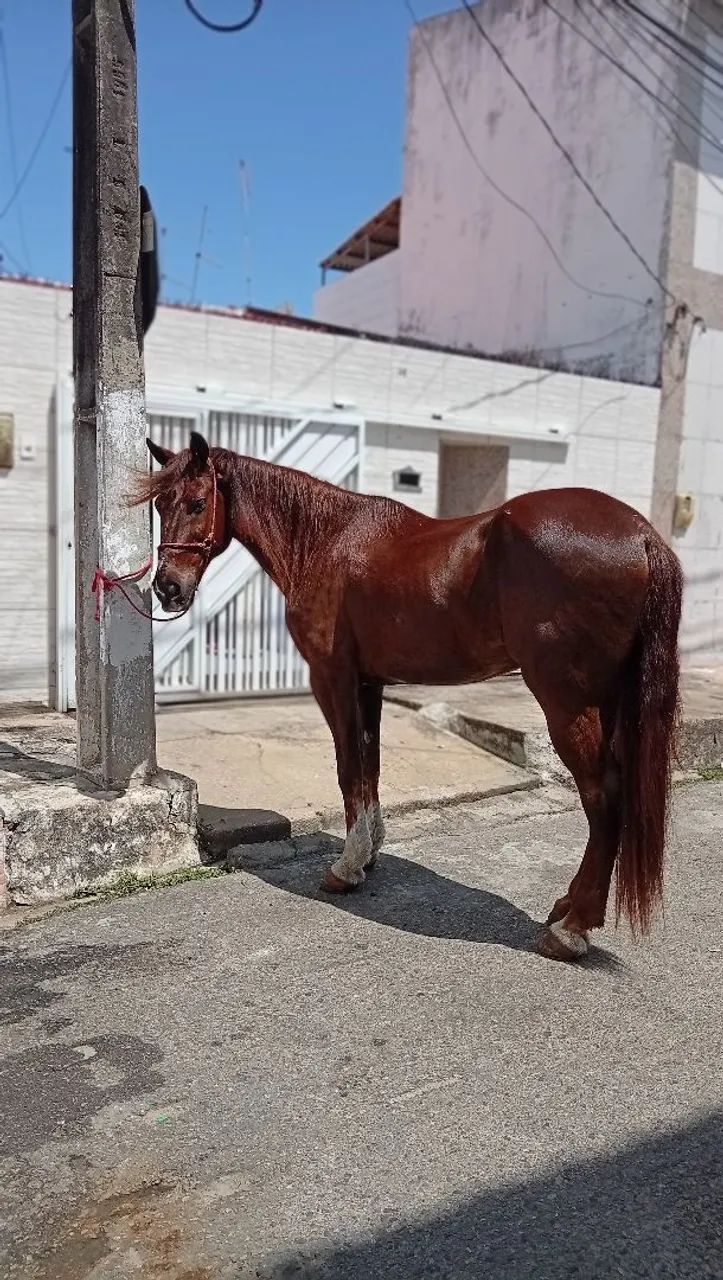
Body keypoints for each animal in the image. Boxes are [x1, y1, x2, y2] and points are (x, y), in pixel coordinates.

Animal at [137, 430, 683, 962]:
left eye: (197, 502)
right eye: (160, 505)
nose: (167, 589)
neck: (325, 540)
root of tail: (642, 534)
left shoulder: (332, 678)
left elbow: (348, 767)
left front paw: (346, 868)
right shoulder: (370, 683)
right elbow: (370, 766)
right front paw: (370, 851)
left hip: (567, 704)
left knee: (603, 798)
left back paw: (571, 930)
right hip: (607, 702)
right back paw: (566, 907)